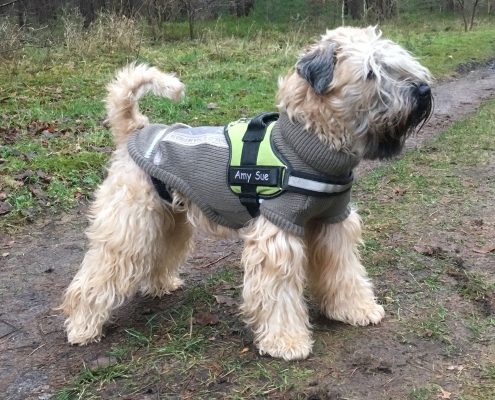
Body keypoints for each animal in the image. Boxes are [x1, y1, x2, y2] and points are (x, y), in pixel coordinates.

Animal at [60, 26, 434, 360]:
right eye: (371, 72)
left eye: (396, 63)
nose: (423, 90)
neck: (310, 142)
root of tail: (135, 130)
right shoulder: (277, 234)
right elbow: (279, 296)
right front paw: (286, 342)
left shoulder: (333, 222)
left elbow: (345, 272)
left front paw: (355, 308)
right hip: (128, 228)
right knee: (96, 276)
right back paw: (82, 326)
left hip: (168, 219)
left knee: (159, 254)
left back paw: (162, 284)